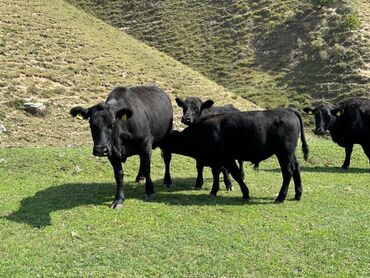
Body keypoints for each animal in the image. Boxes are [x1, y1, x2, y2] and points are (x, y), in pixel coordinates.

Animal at [163, 107, 308, 202]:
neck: (201, 131)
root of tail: (289, 111)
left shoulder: (227, 159)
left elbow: (236, 175)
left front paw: (245, 193)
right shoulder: (216, 160)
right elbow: (216, 175)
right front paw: (214, 191)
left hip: (284, 153)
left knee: (288, 172)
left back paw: (280, 197)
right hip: (290, 153)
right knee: (296, 168)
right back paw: (298, 194)